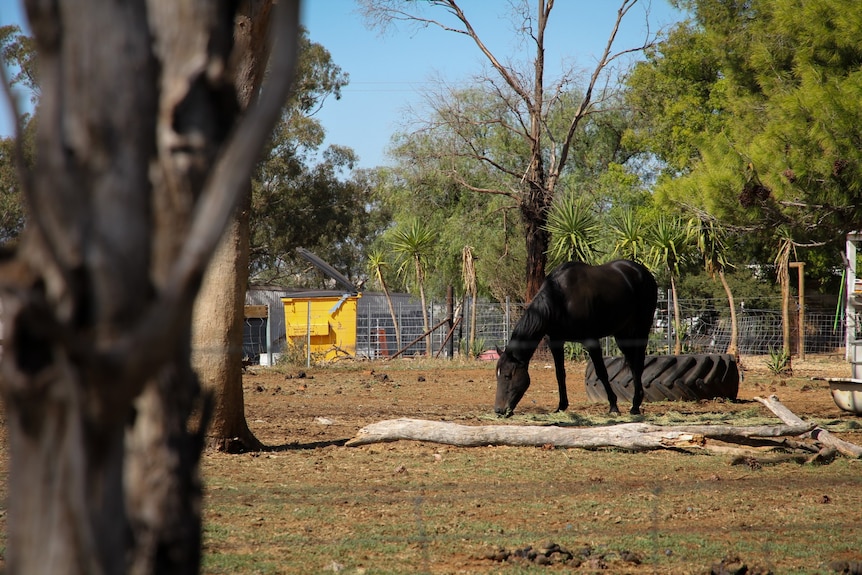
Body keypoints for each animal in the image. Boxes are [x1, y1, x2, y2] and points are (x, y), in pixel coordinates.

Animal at [496, 260, 660, 418]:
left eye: (507, 376)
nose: (499, 410)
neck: (560, 298)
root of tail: (644, 273)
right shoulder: (555, 341)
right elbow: (560, 373)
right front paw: (561, 407)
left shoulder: (591, 341)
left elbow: (601, 372)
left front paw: (613, 407)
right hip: (622, 333)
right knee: (632, 363)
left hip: (641, 329)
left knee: (638, 364)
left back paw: (635, 406)